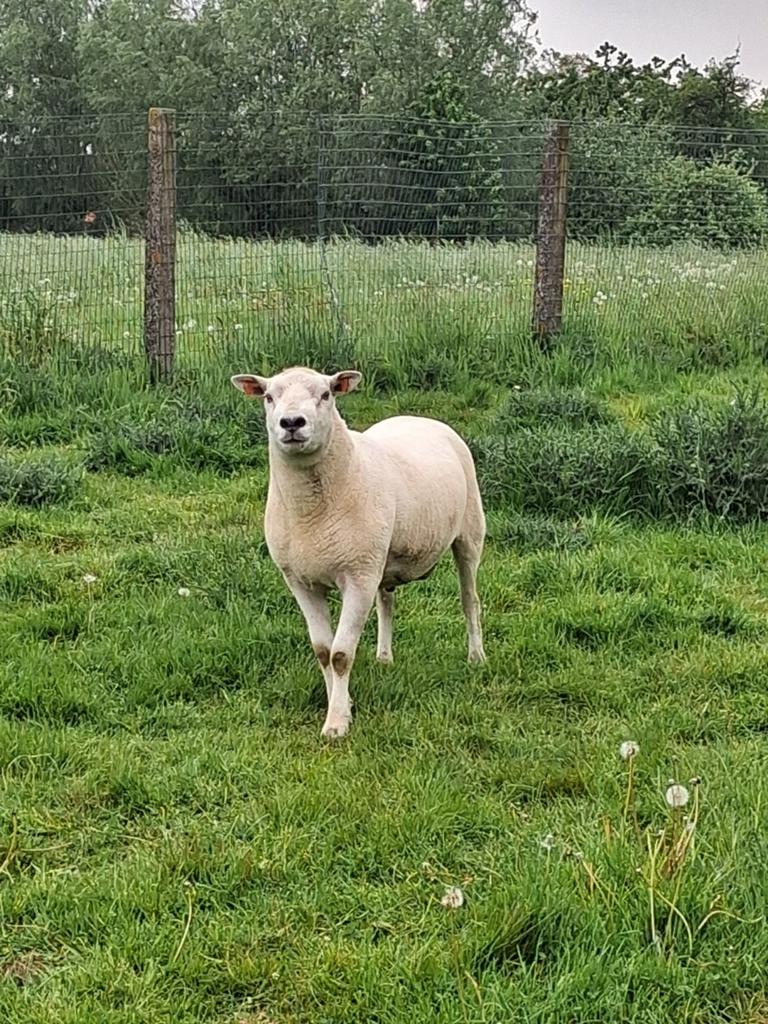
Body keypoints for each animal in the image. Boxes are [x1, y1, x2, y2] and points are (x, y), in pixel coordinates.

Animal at [231, 366, 486, 738]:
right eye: (268, 397)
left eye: (326, 394)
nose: (291, 423)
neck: (312, 513)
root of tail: (419, 417)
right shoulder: (300, 581)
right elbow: (323, 652)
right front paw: (342, 704)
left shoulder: (358, 577)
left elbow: (341, 654)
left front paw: (337, 723)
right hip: (381, 557)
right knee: (387, 602)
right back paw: (384, 657)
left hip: (469, 534)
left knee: (470, 600)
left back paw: (476, 657)